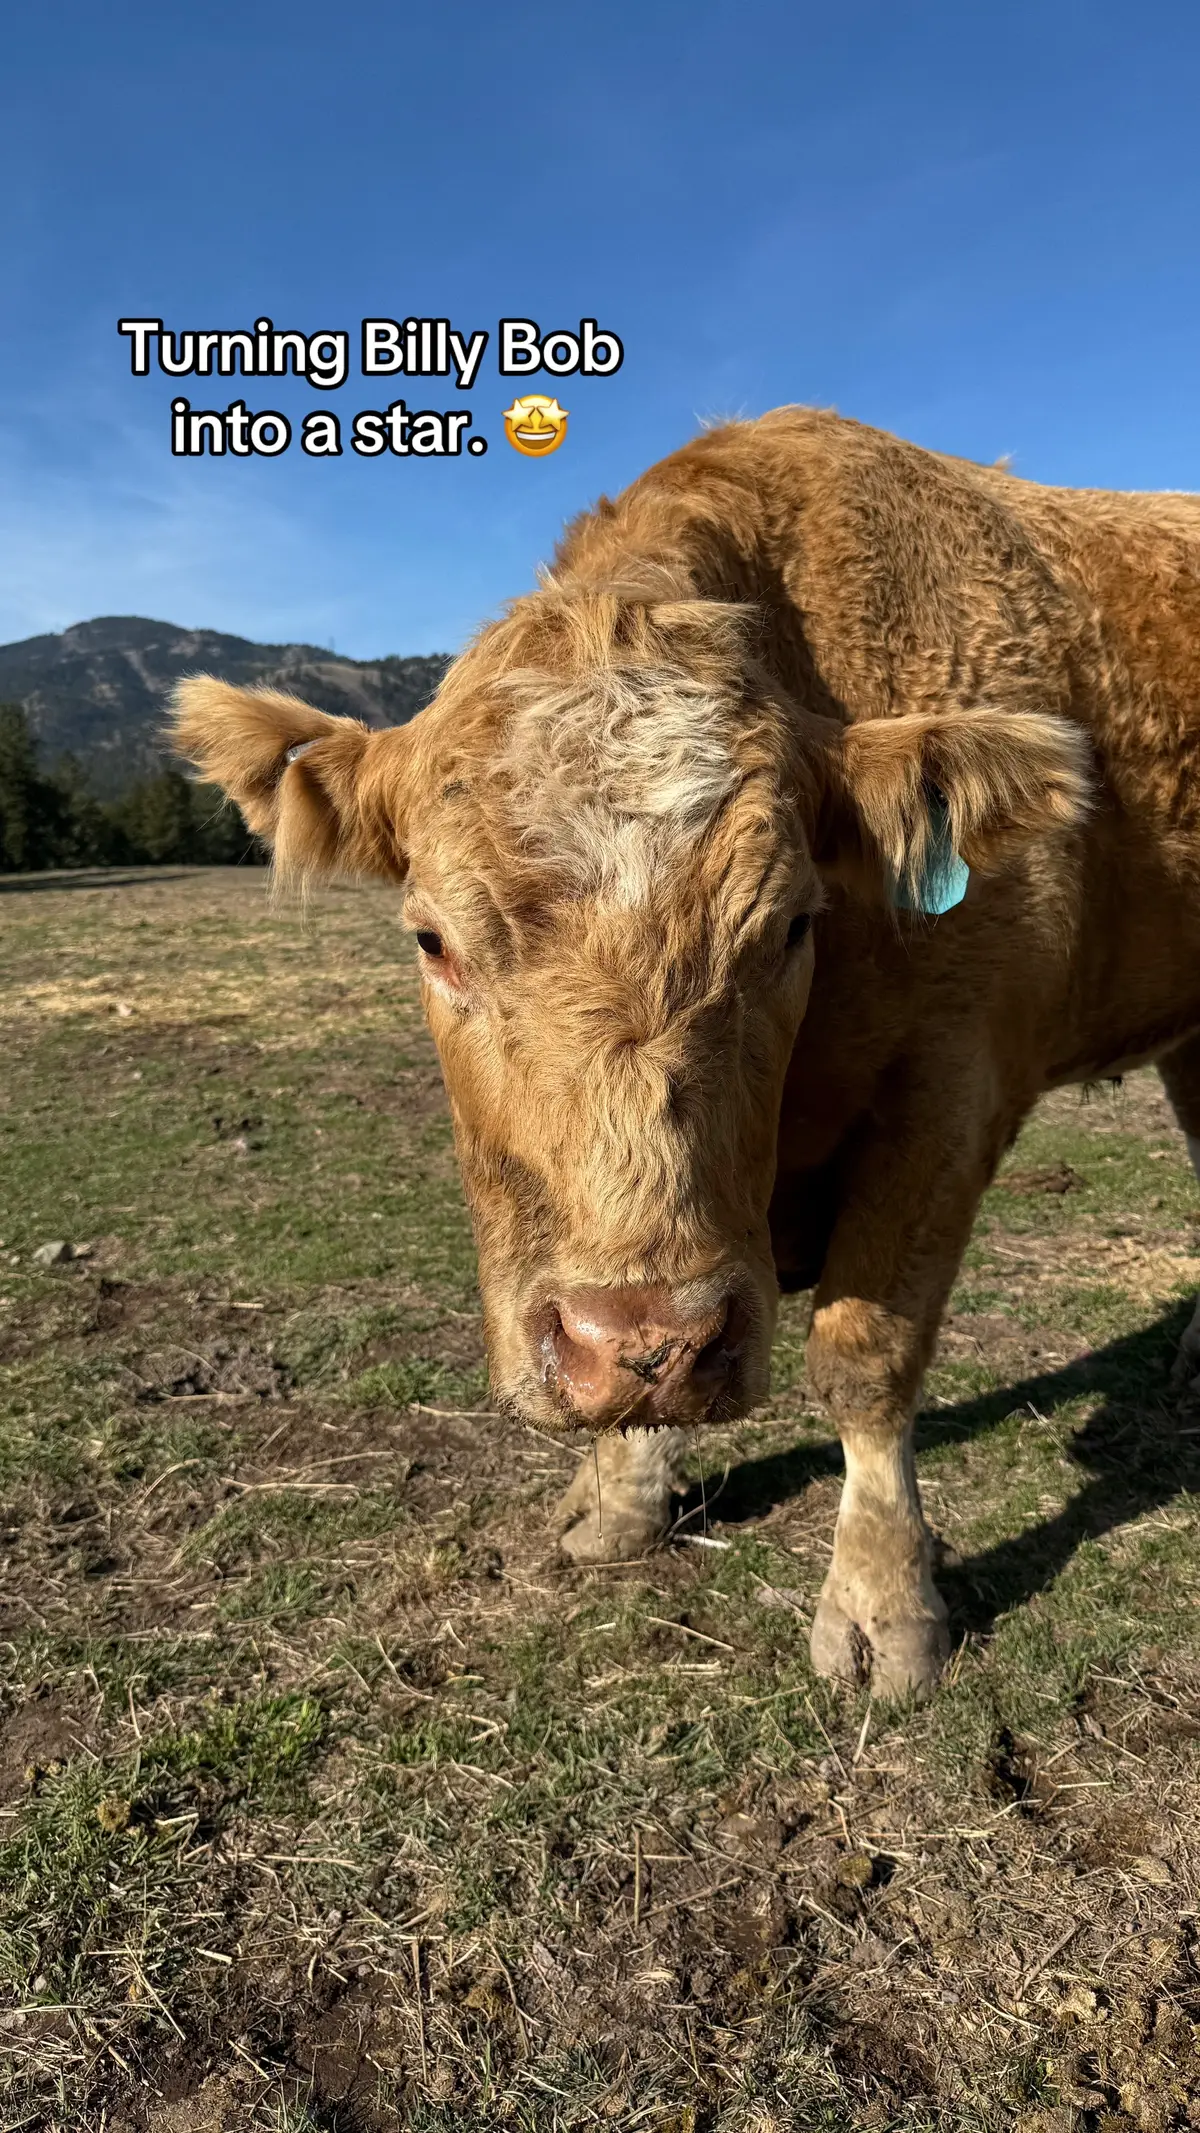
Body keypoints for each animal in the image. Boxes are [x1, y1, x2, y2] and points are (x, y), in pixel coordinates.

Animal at [171, 406, 1200, 1698]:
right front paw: (621, 1495)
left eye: (790, 927)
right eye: (432, 939)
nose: (638, 1335)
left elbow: (866, 1356)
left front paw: (882, 1606)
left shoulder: (951, 1090)